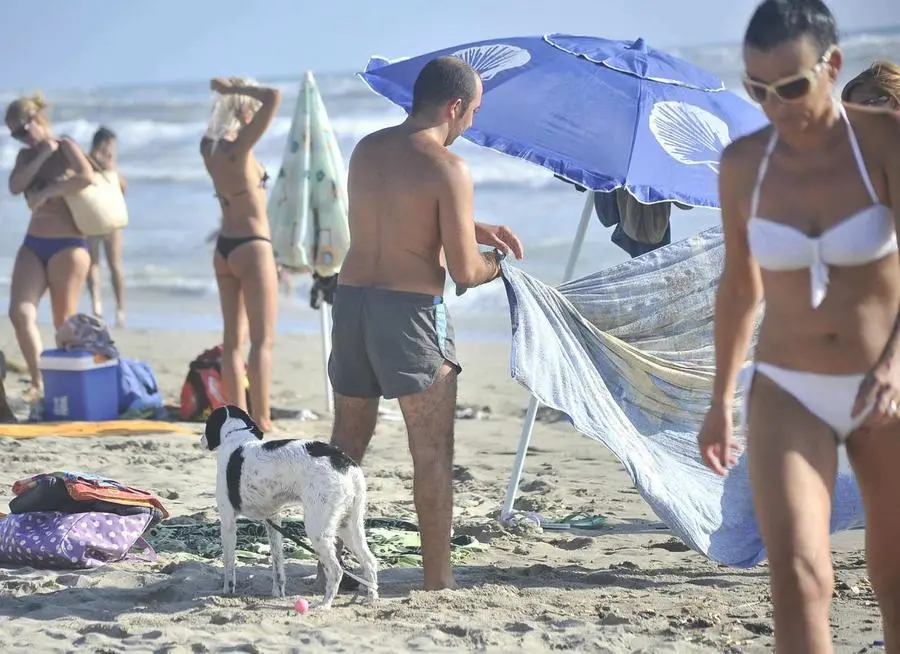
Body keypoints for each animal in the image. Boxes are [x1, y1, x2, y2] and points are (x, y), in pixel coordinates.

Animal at [200, 404, 376, 608]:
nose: (201, 439)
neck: (236, 436)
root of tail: (347, 463)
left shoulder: (227, 521)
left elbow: (229, 564)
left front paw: (227, 593)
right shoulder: (273, 519)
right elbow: (277, 564)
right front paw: (278, 593)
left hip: (318, 529)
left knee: (336, 570)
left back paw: (325, 604)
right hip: (348, 526)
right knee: (370, 562)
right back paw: (372, 599)